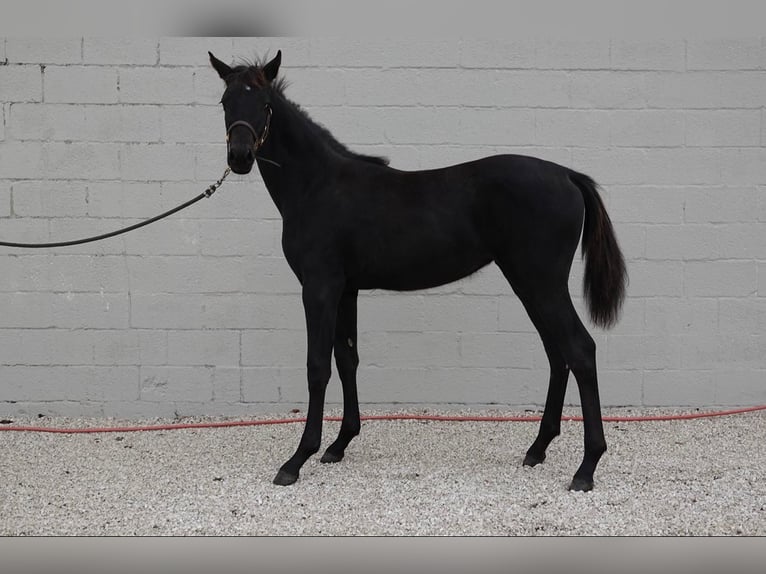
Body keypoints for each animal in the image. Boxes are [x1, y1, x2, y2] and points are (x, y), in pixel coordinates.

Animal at [209, 50, 627, 491]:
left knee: (580, 350)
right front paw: (339, 444)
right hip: (529, 284)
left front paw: (296, 459)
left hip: (542, 283)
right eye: (225, 102)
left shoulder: (320, 287)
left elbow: (317, 366)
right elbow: (347, 359)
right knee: (557, 354)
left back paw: (586, 468)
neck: (317, 186)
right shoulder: (346, 290)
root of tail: (567, 175)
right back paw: (538, 448)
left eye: (264, 104)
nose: (239, 157)